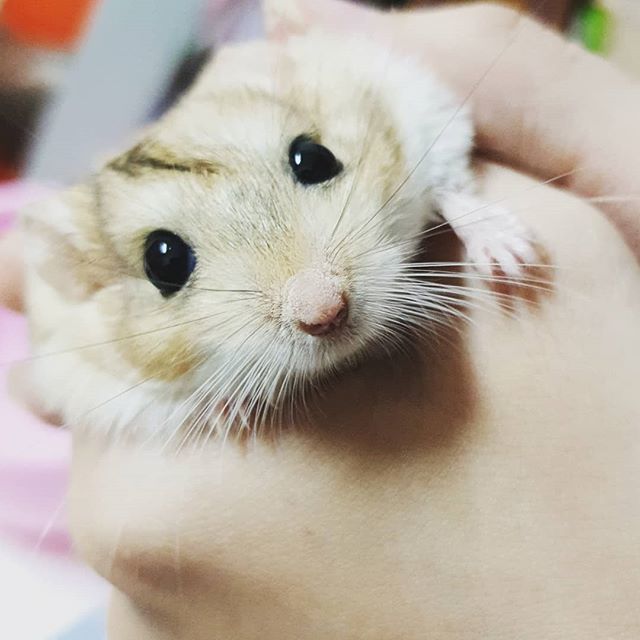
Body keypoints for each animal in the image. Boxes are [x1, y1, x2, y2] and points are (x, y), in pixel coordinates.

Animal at [21, 29, 538, 442]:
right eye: (163, 261)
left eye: (314, 158)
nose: (324, 312)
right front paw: (228, 414)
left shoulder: (415, 100)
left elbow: (449, 187)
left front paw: (516, 265)